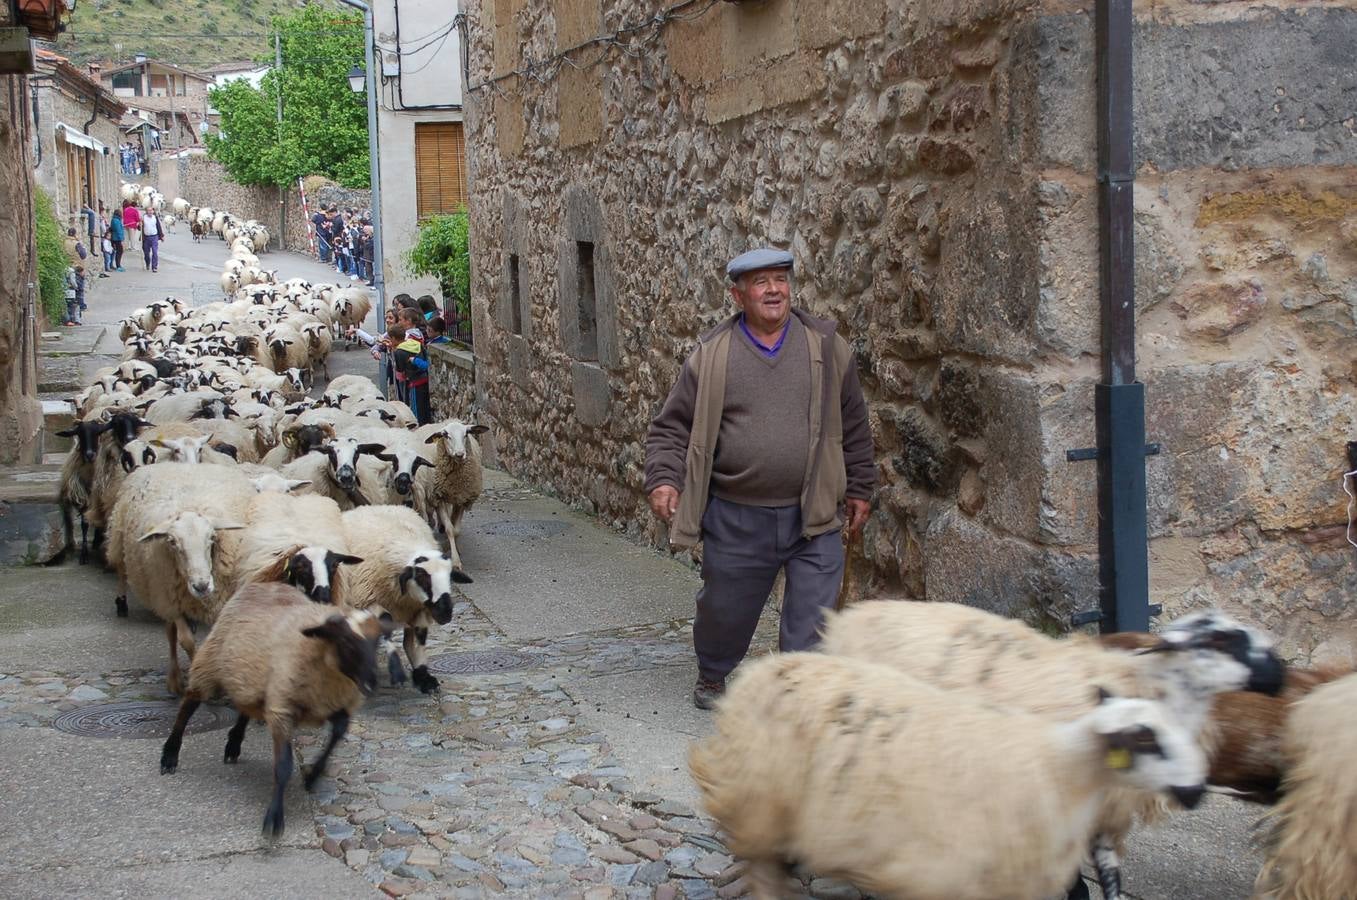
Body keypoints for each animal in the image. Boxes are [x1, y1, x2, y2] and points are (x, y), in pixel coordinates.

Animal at [694, 651, 1205, 900]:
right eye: (1148, 741)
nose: (1197, 791)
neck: (1061, 768)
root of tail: (763, 666)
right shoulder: (946, 873)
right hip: (760, 801)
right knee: (764, 871)